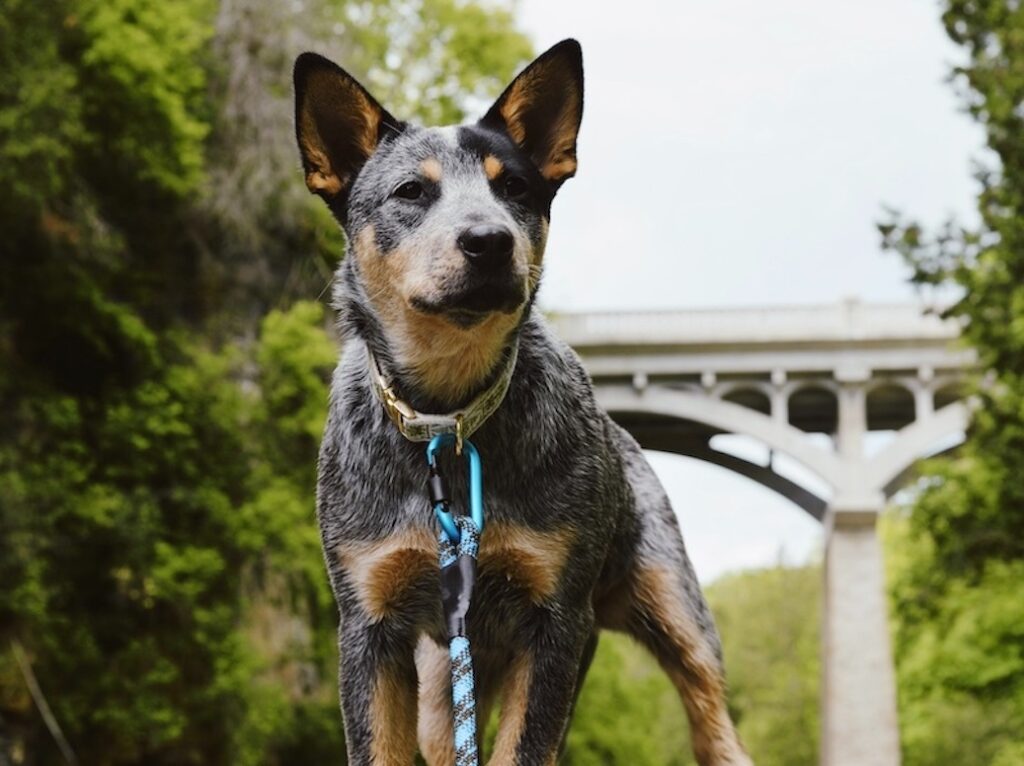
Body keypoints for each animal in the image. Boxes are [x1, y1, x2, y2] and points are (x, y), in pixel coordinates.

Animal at [292, 40, 749, 766]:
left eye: (514, 188)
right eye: (411, 191)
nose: (489, 239)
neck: (449, 422)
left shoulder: (555, 619)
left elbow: (526, 745)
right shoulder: (368, 622)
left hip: (675, 609)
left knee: (711, 716)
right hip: (442, 675)